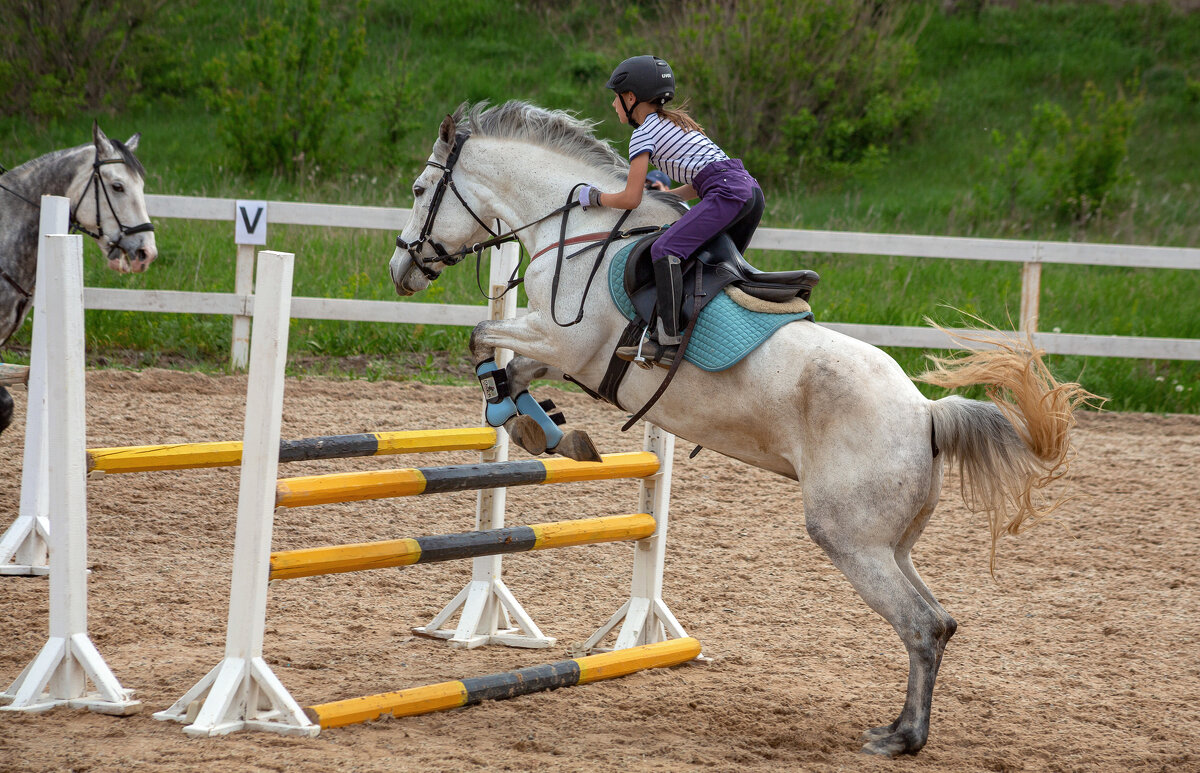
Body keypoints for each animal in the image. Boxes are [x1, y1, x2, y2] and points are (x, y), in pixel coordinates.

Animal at [388, 101, 1094, 753]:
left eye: (420, 191)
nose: (400, 273)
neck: (580, 232)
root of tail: (925, 413)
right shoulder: (556, 351)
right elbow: (510, 371)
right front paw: (545, 431)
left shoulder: (565, 340)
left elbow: (483, 336)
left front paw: (521, 418)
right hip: (892, 542)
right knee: (939, 622)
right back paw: (900, 725)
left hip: (850, 539)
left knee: (920, 624)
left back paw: (903, 738)